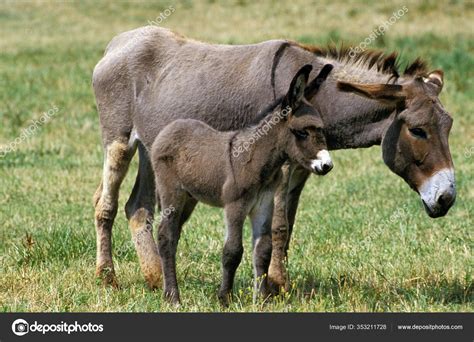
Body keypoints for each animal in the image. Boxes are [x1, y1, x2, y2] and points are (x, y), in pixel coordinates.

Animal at [152, 64, 334, 304]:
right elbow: (232, 251)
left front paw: (263, 299)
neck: (261, 162)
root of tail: (170, 128)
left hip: (190, 198)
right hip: (172, 192)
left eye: (321, 130)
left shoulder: (264, 205)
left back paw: (168, 291)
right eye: (302, 132)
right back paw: (173, 297)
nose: (327, 165)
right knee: (166, 236)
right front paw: (224, 298)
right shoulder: (235, 206)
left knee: (174, 235)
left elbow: (263, 251)